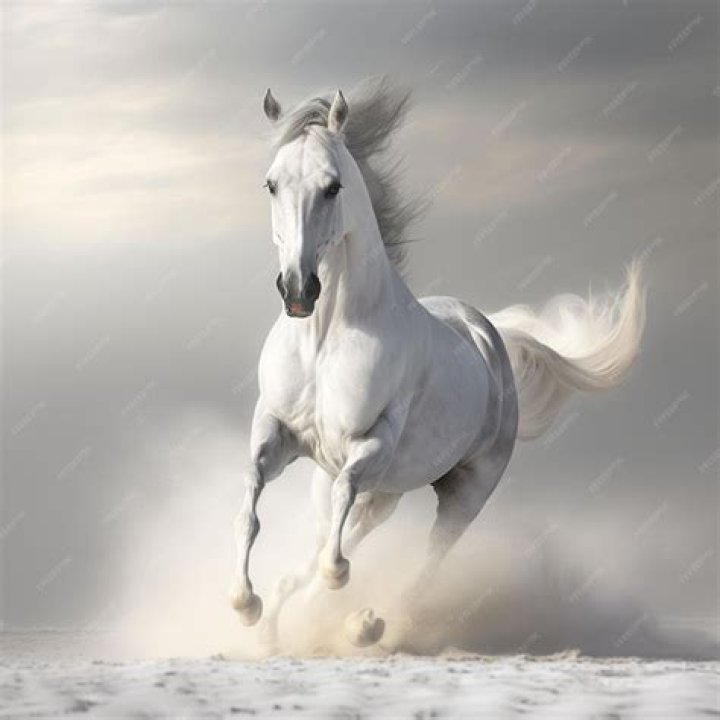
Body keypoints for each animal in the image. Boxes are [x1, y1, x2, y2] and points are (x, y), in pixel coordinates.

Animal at [229, 78, 646, 648]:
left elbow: (339, 523)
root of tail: (489, 332)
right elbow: (252, 499)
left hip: (464, 491)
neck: (324, 340)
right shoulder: (278, 432)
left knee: (423, 565)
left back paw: (367, 624)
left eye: (333, 187)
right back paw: (290, 625)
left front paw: (334, 589)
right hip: (382, 493)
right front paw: (245, 603)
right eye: (271, 184)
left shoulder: (373, 443)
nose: (297, 290)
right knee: (332, 538)